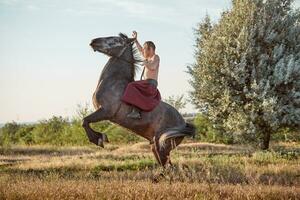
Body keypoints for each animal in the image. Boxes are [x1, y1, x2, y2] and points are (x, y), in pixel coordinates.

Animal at [82, 32, 196, 167]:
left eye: (116, 40)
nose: (93, 41)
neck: (113, 82)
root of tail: (183, 123)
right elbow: (85, 121)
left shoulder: (105, 111)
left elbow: (85, 121)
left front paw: (99, 139)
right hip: (156, 146)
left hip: (162, 146)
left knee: (169, 167)